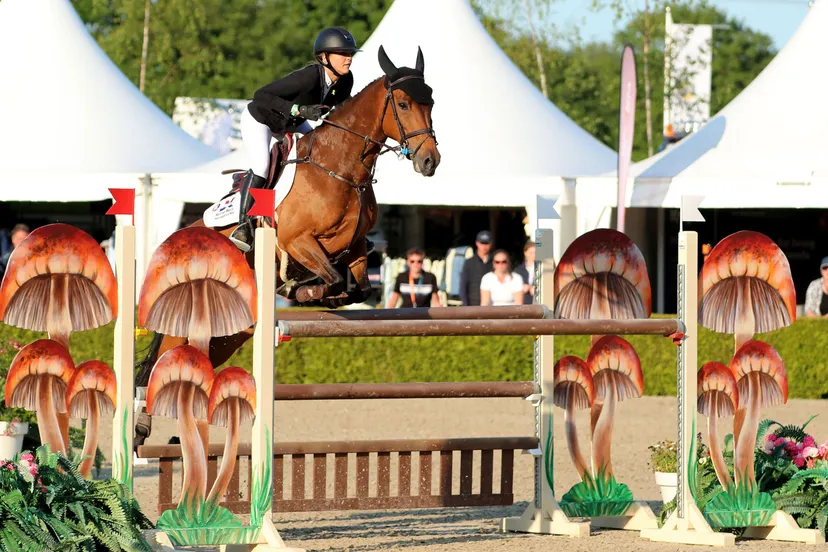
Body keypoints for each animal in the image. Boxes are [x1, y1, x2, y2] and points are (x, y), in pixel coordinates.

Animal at [134, 46, 440, 403]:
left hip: (231, 333)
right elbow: (333, 278)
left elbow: (360, 287)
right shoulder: (297, 241)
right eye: (403, 104)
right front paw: (305, 291)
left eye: (431, 103)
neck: (341, 170)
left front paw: (322, 295)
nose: (430, 161)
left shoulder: (355, 246)